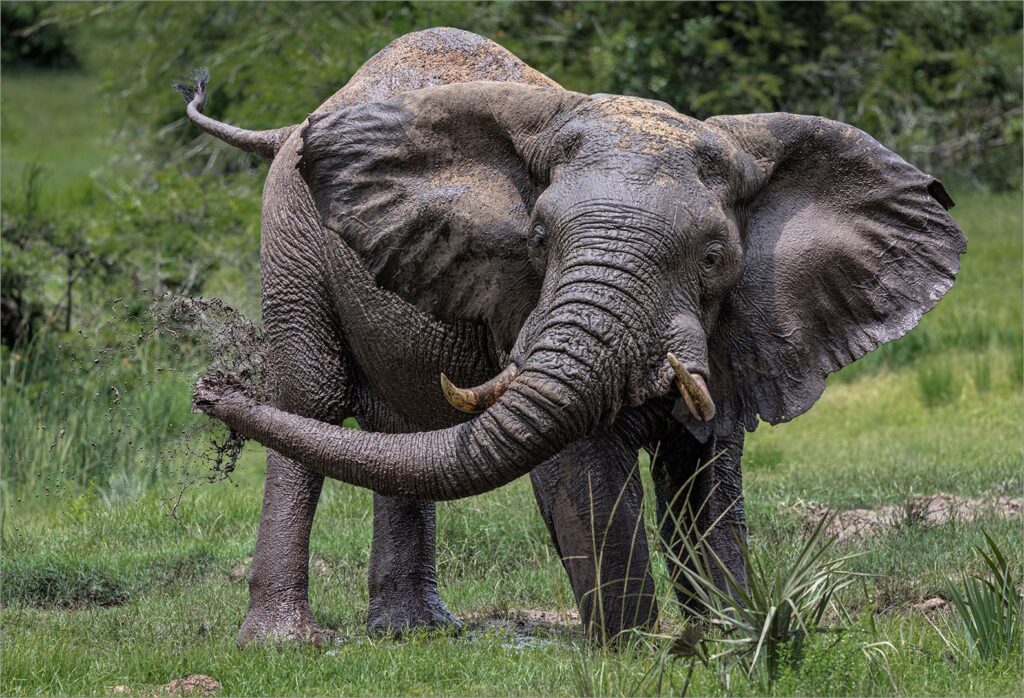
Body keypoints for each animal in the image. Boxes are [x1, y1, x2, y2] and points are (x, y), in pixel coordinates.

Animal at [178, 27, 966, 646]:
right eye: (535, 238)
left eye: (715, 257)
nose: (207, 391)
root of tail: (294, 124)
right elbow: (583, 467)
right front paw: (633, 651)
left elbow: (705, 472)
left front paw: (733, 637)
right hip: (289, 234)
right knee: (310, 398)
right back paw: (285, 645)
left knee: (399, 432)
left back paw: (417, 633)